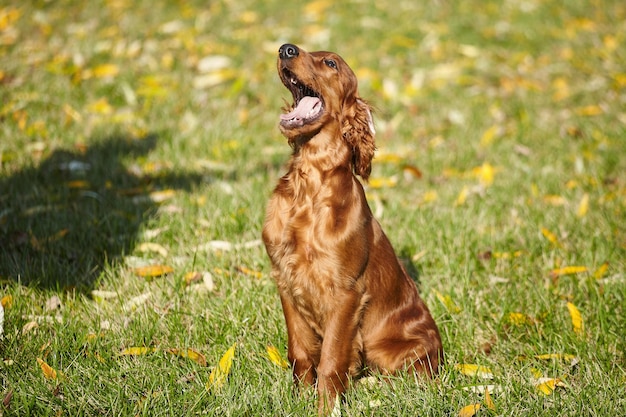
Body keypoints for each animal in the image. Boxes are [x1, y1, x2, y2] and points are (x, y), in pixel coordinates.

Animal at [260, 43, 442, 412]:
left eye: (330, 63)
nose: (286, 48)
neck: (309, 183)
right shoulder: (285, 280)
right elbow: (300, 353)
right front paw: (300, 401)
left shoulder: (346, 292)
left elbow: (330, 360)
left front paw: (325, 408)